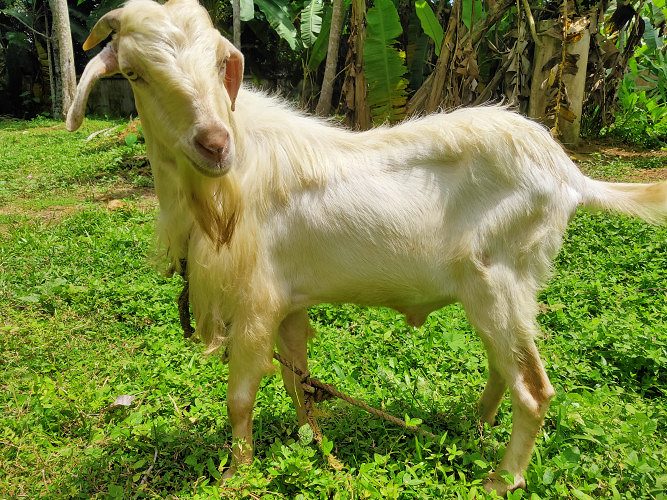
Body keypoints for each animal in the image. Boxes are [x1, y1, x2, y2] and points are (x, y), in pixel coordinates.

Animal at [66, 0, 667, 494]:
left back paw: (502, 478)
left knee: (534, 388)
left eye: (219, 66)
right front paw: (311, 445)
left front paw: (238, 473)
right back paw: (473, 427)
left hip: (499, 281)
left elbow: (241, 397)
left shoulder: (256, 302)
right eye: (137, 75)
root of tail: (569, 175)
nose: (215, 144)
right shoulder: (290, 303)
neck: (227, 187)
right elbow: (299, 380)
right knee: (505, 368)